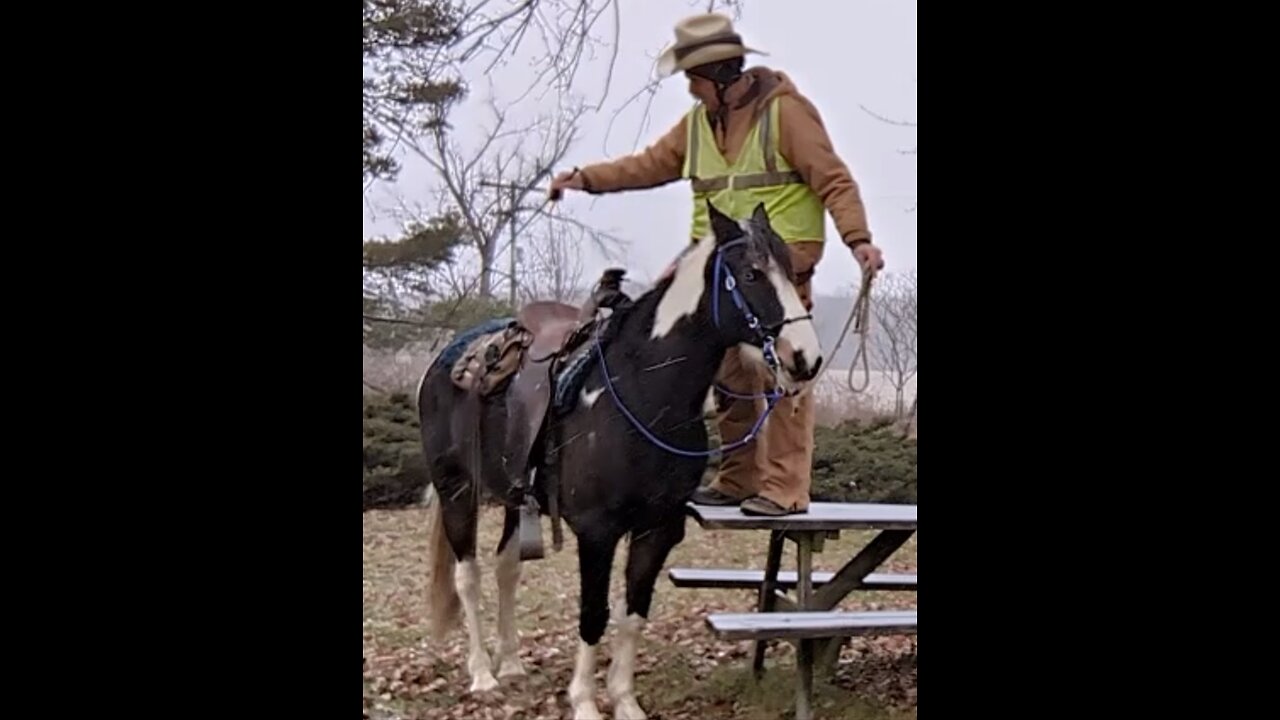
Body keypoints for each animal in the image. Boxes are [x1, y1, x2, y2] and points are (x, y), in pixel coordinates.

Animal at [417, 202, 819, 717]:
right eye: (750, 273)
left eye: (791, 270)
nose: (805, 358)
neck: (643, 391)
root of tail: (446, 358)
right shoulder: (597, 531)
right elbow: (594, 614)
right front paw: (585, 702)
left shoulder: (658, 529)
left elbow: (632, 613)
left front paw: (625, 700)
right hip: (456, 490)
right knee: (468, 576)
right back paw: (483, 673)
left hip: (513, 496)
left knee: (507, 568)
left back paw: (511, 664)